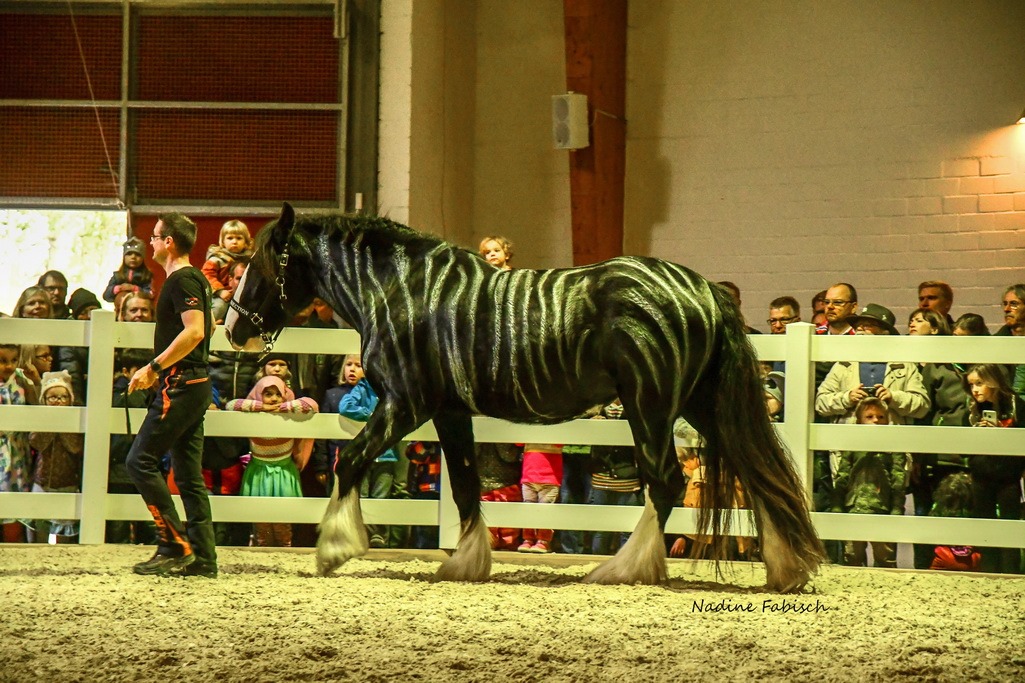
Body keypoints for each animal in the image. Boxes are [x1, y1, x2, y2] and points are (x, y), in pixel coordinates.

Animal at [224, 202, 824, 590]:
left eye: (257, 265)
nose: (233, 329)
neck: (400, 292)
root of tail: (703, 289)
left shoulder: (405, 402)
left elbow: (349, 459)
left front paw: (334, 548)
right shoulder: (447, 410)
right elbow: (467, 485)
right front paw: (466, 564)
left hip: (650, 406)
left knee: (667, 482)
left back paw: (624, 569)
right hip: (702, 404)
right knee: (758, 473)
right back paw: (786, 569)